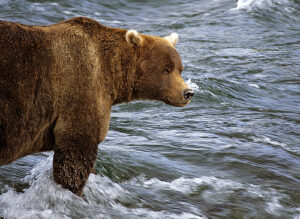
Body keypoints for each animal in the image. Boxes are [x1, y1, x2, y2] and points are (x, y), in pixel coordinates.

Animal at [0, 16, 193, 195]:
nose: (187, 93)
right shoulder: (81, 90)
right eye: (166, 69)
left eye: (180, 69)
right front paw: (72, 190)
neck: (112, 73)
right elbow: (75, 155)